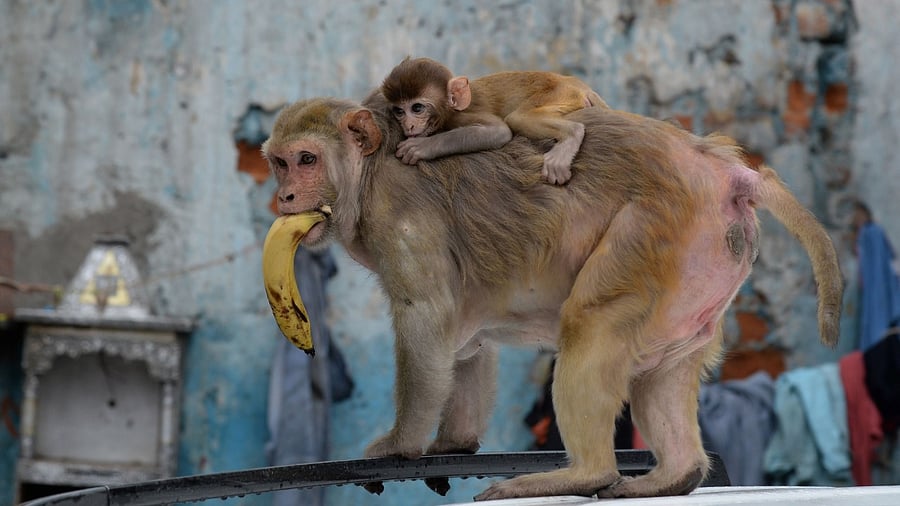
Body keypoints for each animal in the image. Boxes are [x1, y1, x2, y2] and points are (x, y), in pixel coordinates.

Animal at [261, 91, 842, 500]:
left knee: (590, 323)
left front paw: (401, 445)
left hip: (657, 230)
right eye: (280, 163)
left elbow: (425, 319)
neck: (370, 169)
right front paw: (453, 443)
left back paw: (581, 475)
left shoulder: (398, 214)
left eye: (306, 159)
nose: (284, 196)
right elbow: (464, 342)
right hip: (699, 271)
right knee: (667, 362)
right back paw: (673, 476)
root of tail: (725, 170)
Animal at [380, 57, 608, 185]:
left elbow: (499, 131)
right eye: (399, 111)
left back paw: (572, 133)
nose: (408, 125)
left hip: (559, 92)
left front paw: (421, 147)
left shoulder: (460, 116)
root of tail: (581, 85)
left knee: (518, 118)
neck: (451, 108)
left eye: (417, 108)